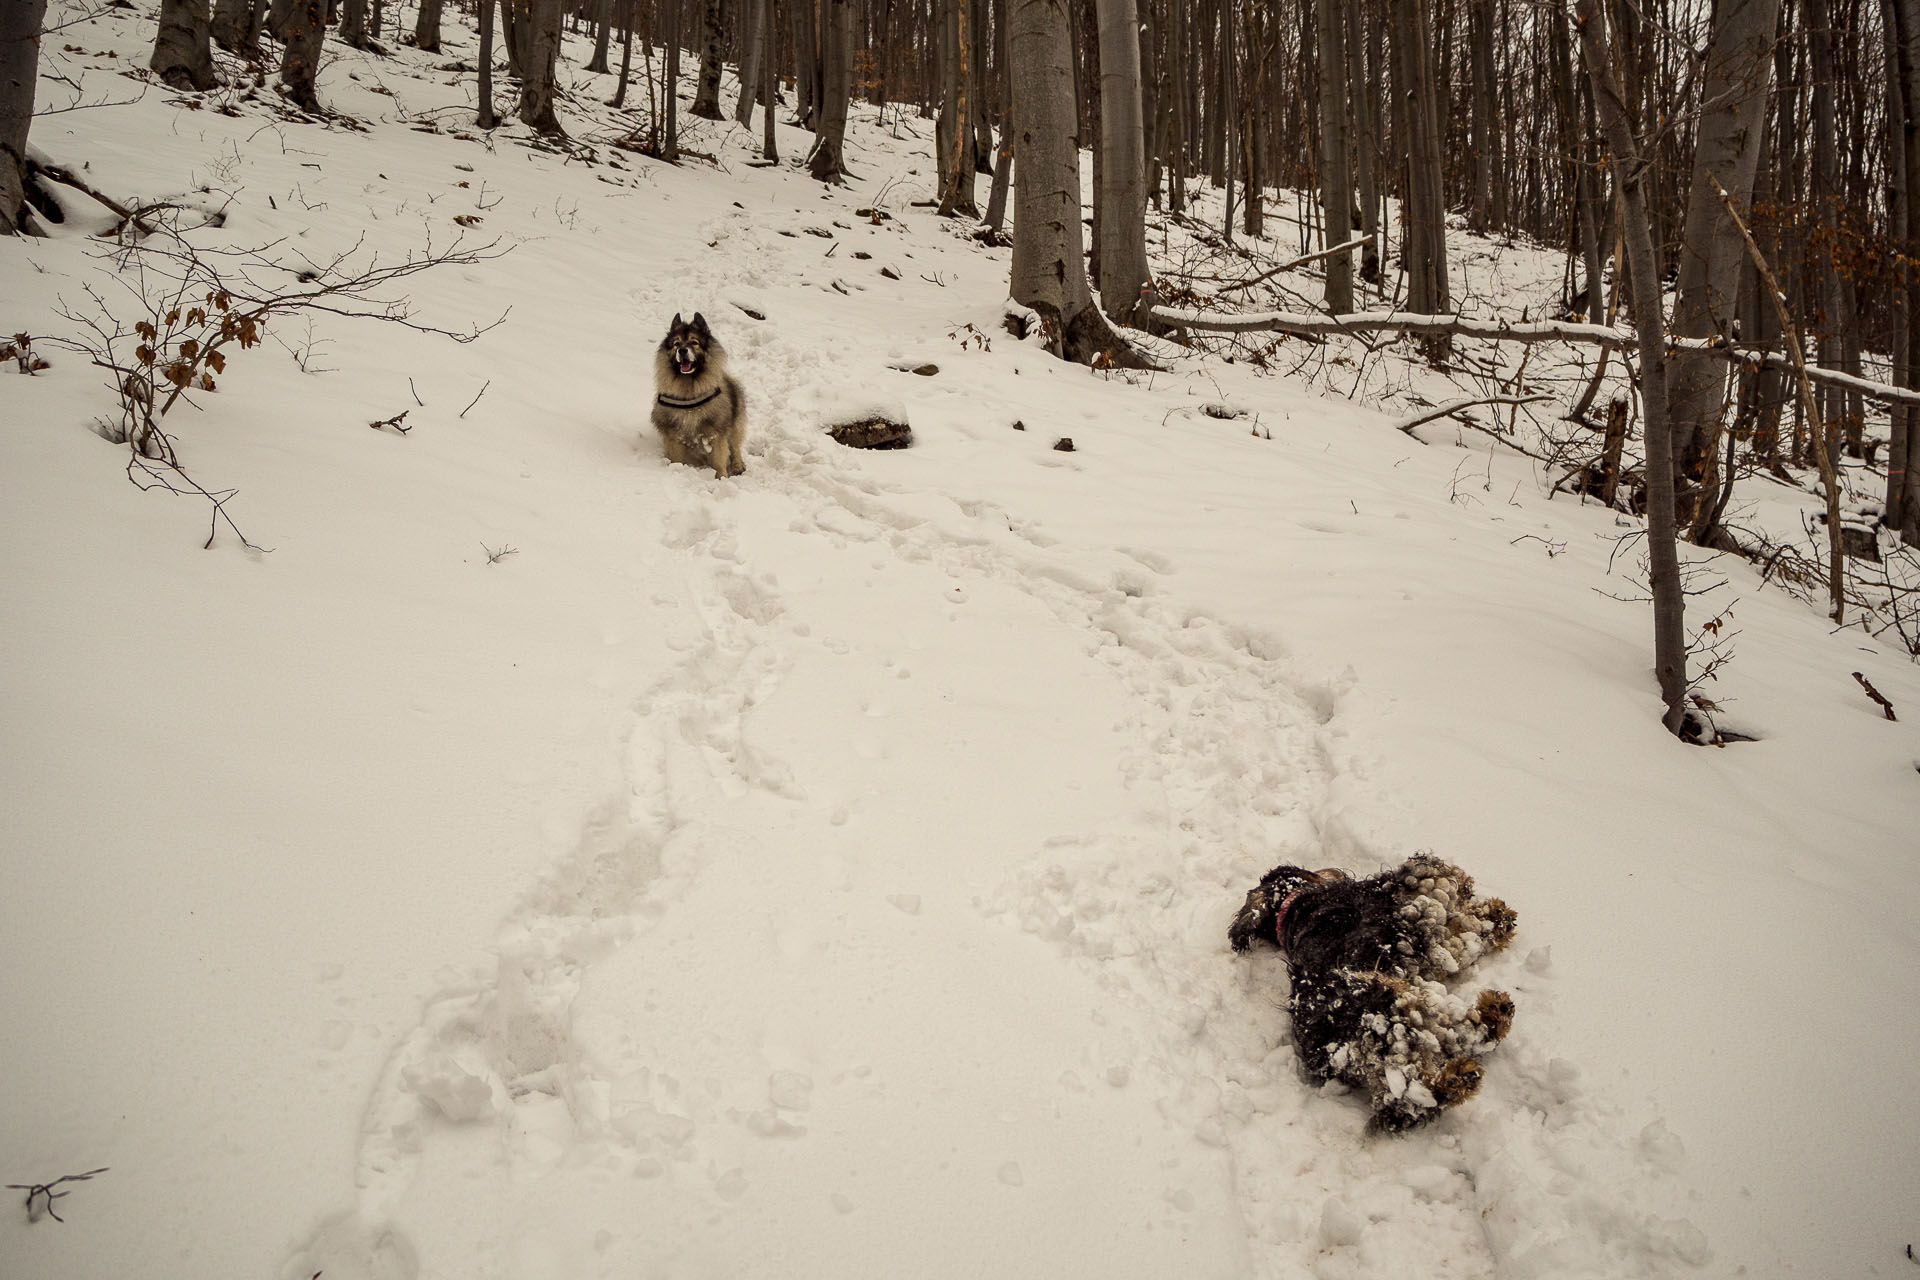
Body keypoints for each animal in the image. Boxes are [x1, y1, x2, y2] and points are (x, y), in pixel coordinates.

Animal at [660, 314, 748, 479]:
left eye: (694, 342)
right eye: (676, 343)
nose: (682, 350)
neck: (689, 388)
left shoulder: (716, 431)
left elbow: (719, 457)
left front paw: (721, 477)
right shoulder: (674, 433)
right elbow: (676, 457)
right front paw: (676, 468)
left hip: (735, 424)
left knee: (735, 447)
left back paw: (738, 466)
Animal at [1236, 855, 1520, 1136]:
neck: (1292, 904)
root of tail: (1337, 1046)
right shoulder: (1421, 922)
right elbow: (1460, 925)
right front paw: (1494, 914)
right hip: (1390, 1002)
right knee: (1440, 1063)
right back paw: (1471, 1054)